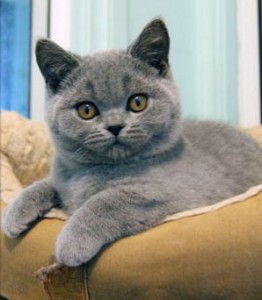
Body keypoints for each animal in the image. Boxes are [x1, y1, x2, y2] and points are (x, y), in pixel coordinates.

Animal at [2, 19, 262, 266]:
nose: (115, 126)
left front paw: (71, 242)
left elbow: (108, 200)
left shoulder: (175, 194)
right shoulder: (63, 177)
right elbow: (46, 184)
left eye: (138, 102)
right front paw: (15, 211)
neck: (96, 172)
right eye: (86, 110)